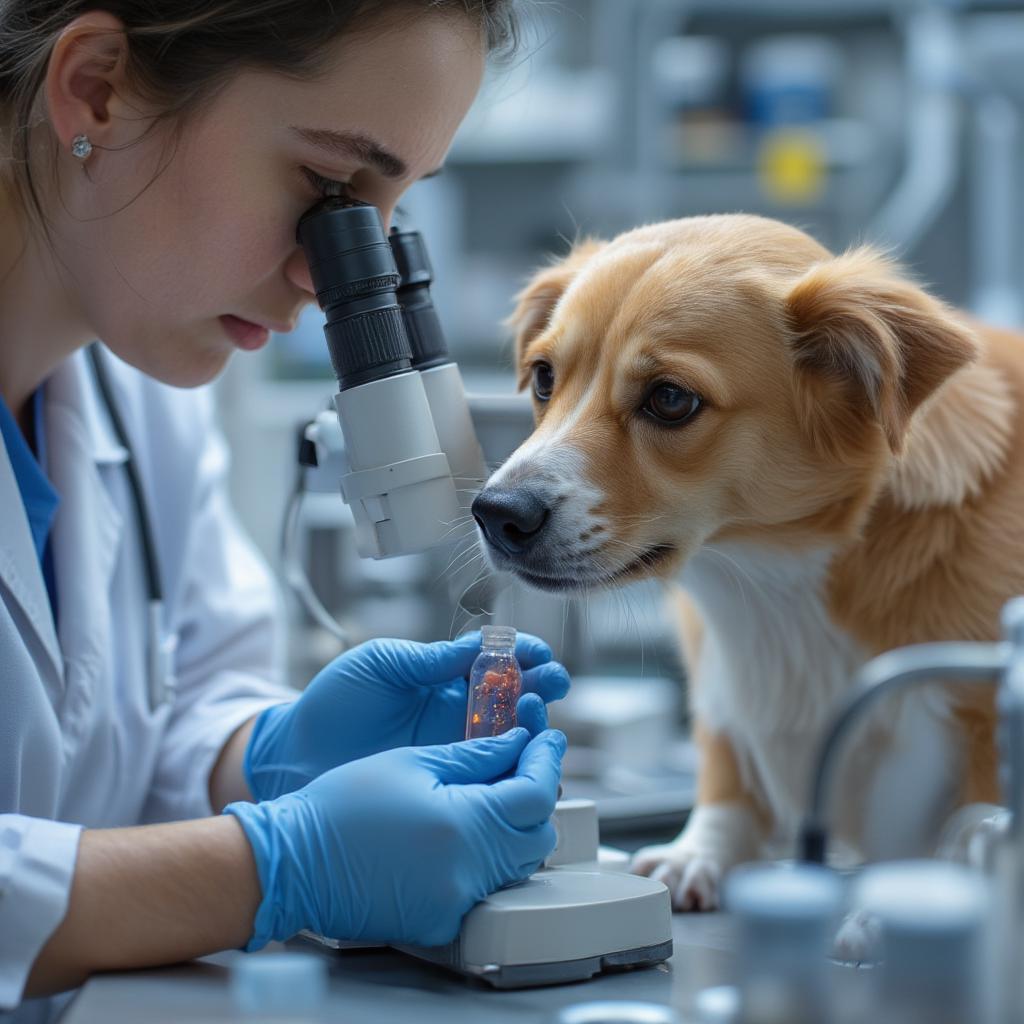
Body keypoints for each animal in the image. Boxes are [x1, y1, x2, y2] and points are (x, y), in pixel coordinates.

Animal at [473, 214, 1024, 913]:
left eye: (671, 399)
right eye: (544, 376)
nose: (495, 514)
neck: (770, 586)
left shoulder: (981, 717)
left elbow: (976, 816)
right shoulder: (720, 688)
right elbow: (725, 779)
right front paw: (695, 855)